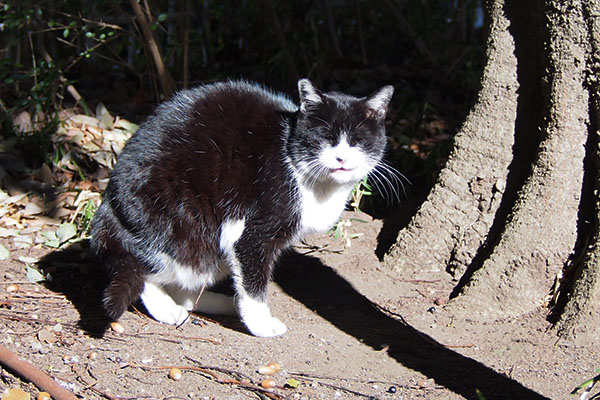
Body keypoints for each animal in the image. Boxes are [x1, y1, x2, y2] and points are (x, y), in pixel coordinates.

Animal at [90, 76, 394, 336]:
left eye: (357, 141)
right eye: (325, 138)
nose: (341, 158)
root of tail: (108, 204)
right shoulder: (252, 232)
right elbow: (254, 284)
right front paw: (261, 325)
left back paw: (223, 304)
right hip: (183, 226)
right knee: (143, 268)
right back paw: (168, 310)